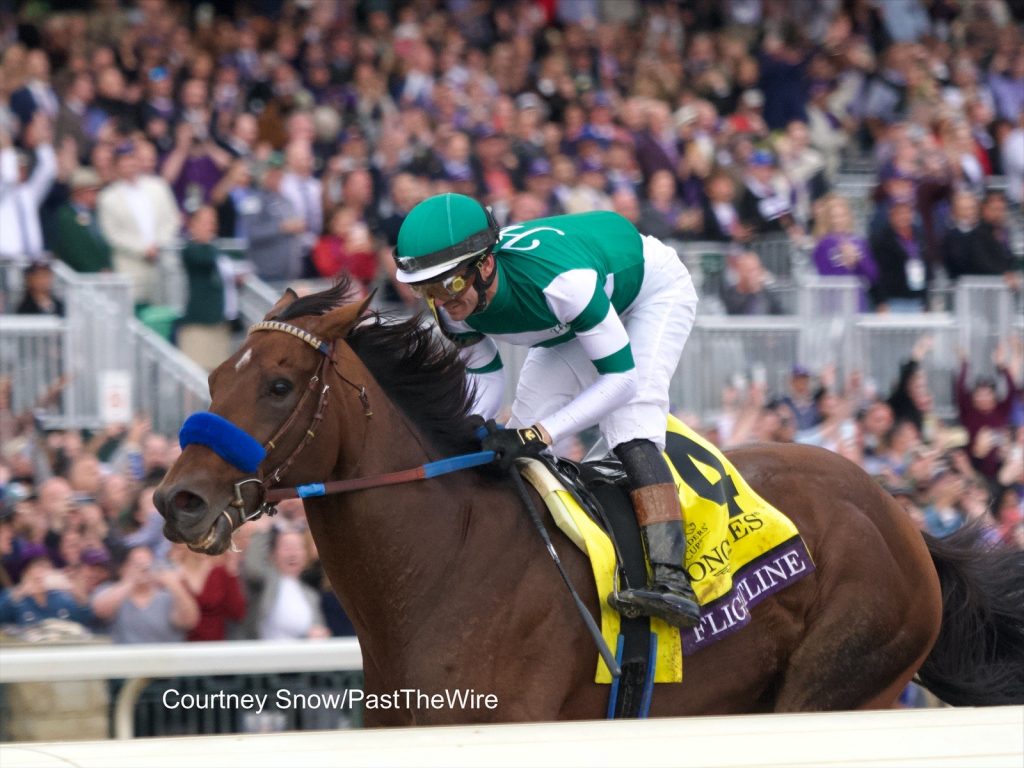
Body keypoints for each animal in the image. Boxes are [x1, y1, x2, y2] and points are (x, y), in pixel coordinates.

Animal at [153, 284, 1024, 729]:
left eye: (278, 384)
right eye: (215, 379)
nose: (177, 501)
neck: (443, 562)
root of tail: (904, 520)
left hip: (841, 682)